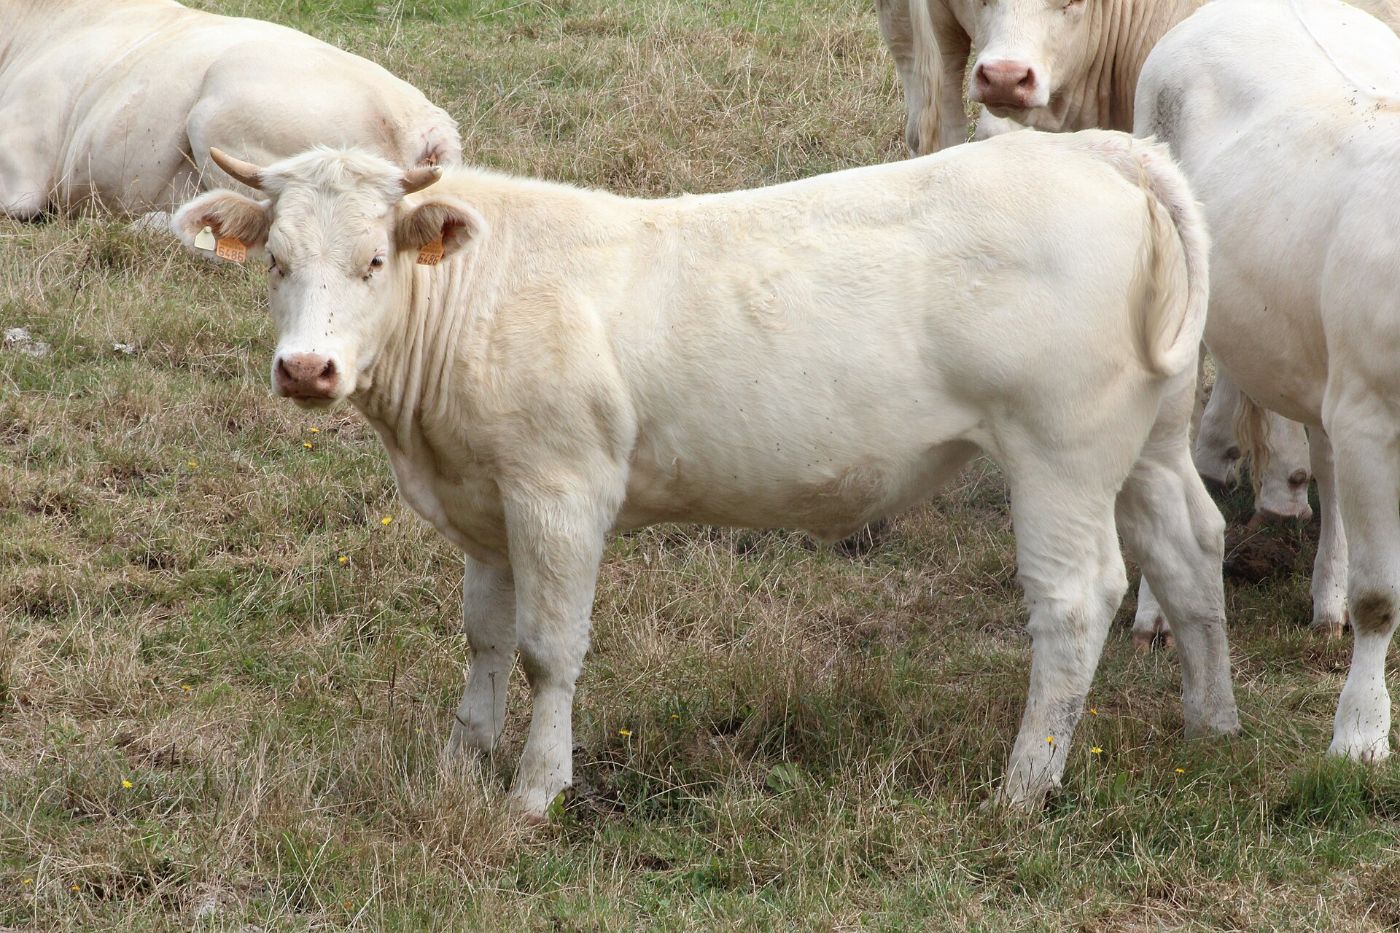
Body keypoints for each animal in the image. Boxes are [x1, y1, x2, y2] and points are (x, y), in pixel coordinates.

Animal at [169, 130, 1237, 816]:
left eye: (375, 259)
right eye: (275, 258)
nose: (307, 369)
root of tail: (1096, 149)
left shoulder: (560, 490)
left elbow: (548, 648)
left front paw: (533, 790)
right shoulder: (486, 499)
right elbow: (484, 637)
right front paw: (457, 763)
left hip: (1060, 454)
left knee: (1075, 600)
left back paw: (1022, 786)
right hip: (1147, 444)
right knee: (1192, 551)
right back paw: (1212, 725)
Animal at [1135, 0, 1399, 760]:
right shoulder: (1372, 414)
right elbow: (1382, 597)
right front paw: (1361, 732)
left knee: (1326, 463)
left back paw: (1325, 602)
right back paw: (1153, 618)